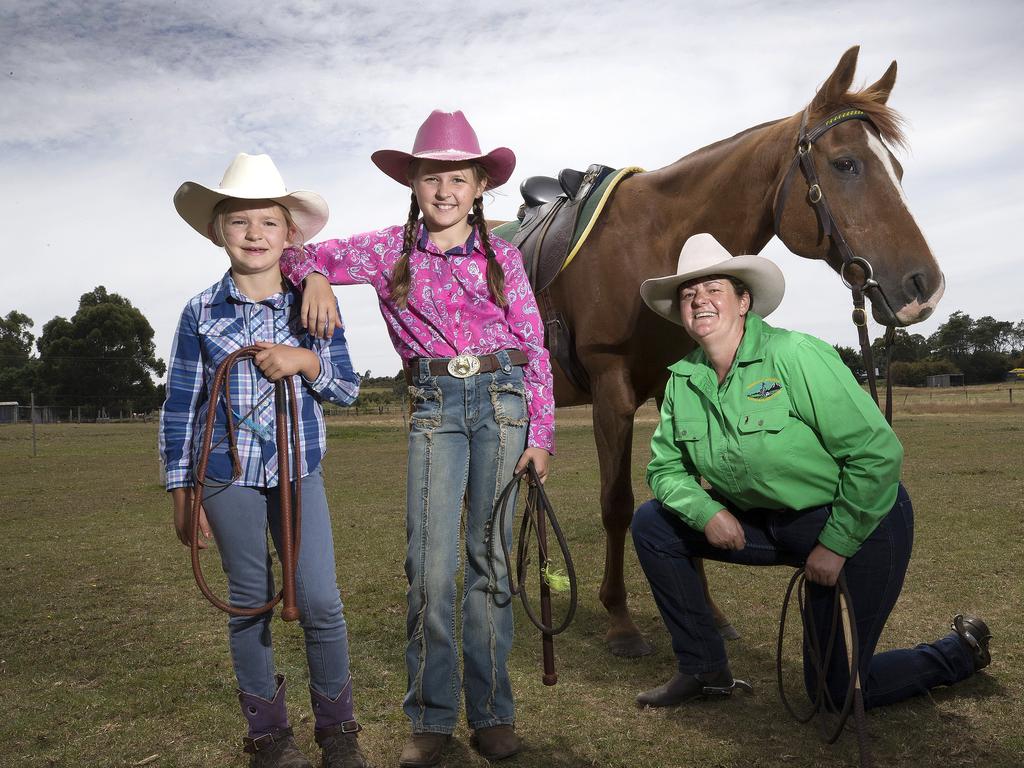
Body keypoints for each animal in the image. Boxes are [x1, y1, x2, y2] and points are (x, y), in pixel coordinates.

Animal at [548, 46, 946, 655]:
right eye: (846, 164)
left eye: (897, 171)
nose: (926, 287)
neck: (651, 238)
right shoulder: (610, 387)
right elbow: (615, 505)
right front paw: (620, 621)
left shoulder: (674, 385)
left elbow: (694, 493)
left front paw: (710, 614)